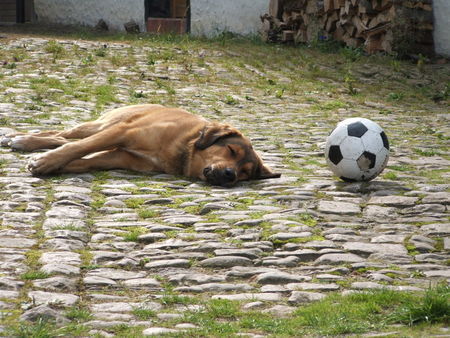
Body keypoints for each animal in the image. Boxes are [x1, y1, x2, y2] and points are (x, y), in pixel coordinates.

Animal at [1, 103, 280, 187]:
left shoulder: (118, 157)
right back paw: (22, 139)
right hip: (103, 125)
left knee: (64, 138)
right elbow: (76, 149)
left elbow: (81, 161)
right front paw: (45, 160)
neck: (183, 150)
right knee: (65, 135)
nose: (230, 175)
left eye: (245, 174)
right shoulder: (122, 133)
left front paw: (52, 165)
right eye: (231, 150)